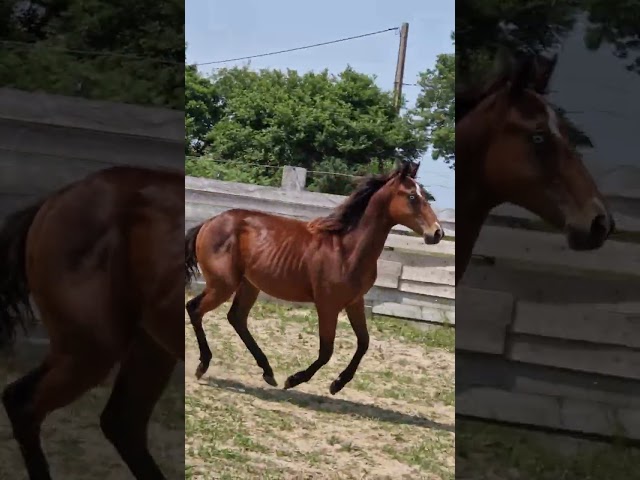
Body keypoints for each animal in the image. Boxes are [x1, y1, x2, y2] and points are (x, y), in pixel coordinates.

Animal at [184, 160, 444, 395]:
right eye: (412, 196)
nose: (437, 233)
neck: (346, 249)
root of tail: (208, 223)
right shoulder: (328, 305)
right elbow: (327, 350)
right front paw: (294, 379)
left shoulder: (355, 302)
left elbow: (364, 342)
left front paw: (337, 384)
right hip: (223, 285)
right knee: (195, 308)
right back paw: (203, 365)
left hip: (249, 285)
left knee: (236, 318)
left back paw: (268, 372)